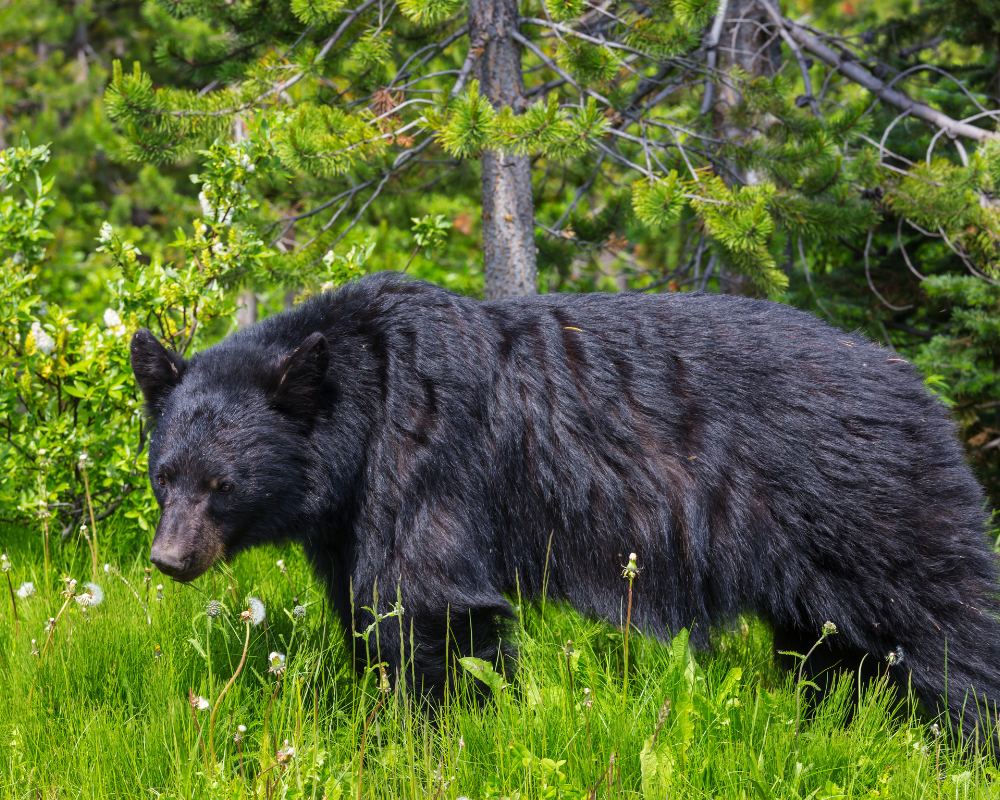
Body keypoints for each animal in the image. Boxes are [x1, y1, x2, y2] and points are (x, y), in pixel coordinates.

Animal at [133, 274, 1000, 744]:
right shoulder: (351, 515)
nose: (171, 560)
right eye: (165, 475)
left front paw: (428, 737)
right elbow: (370, 605)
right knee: (837, 653)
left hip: (871, 505)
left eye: (223, 484)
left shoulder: (429, 452)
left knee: (942, 625)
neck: (363, 401)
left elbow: (430, 605)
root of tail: (920, 385)